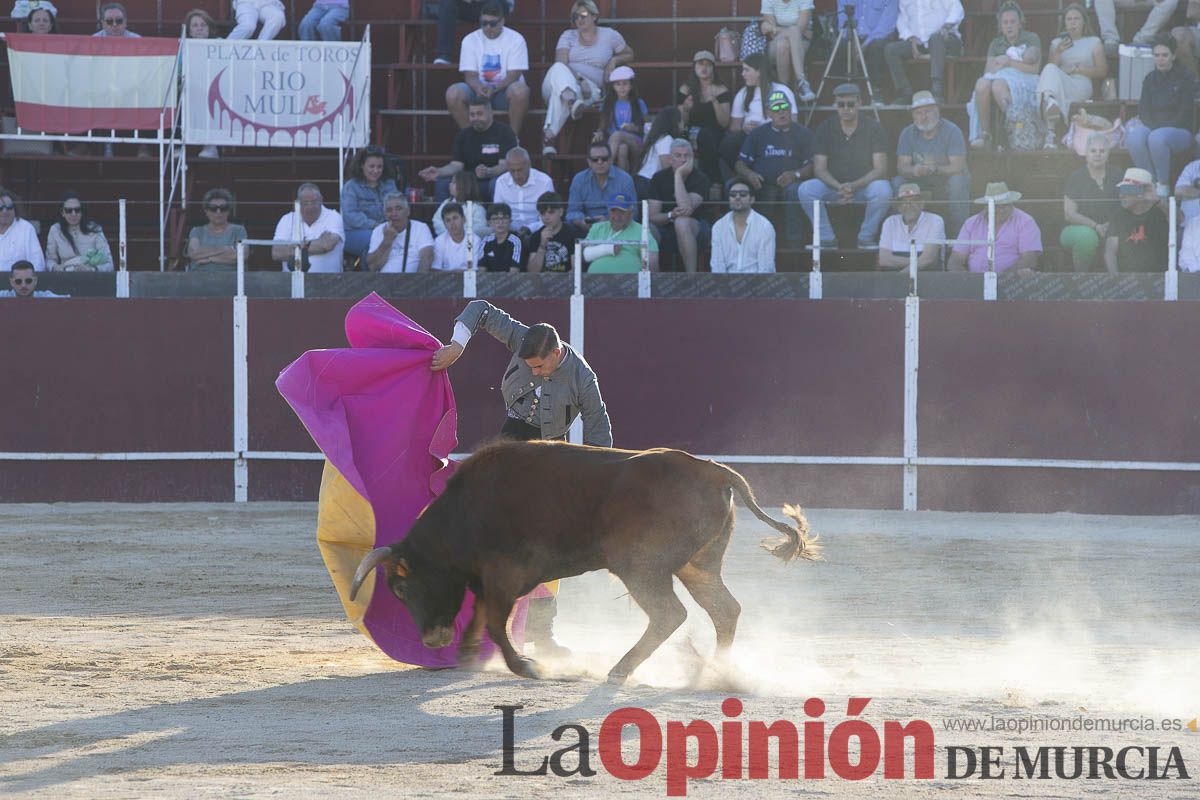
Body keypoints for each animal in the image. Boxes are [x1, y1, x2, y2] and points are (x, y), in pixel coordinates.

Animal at [348, 438, 816, 681]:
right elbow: (482, 615)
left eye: (402, 586)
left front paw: (526, 666)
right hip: (697, 565)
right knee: (724, 609)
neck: (465, 510)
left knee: (670, 614)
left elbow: (497, 622)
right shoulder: (488, 580)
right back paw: (715, 671)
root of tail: (713, 469)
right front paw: (466, 655)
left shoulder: (504, 576)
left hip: (641, 567)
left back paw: (619, 670)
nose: (431, 640)